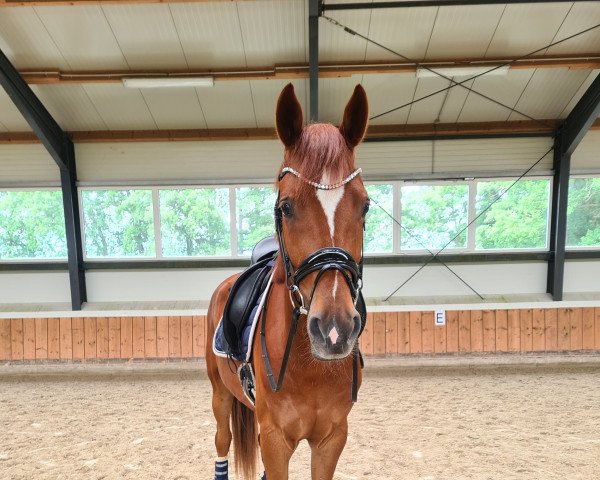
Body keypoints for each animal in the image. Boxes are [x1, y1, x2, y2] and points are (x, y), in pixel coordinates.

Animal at [206, 83, 370, 480]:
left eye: (365, 206)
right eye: (286, 207)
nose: (334, 330)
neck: (308, 366)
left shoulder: (331, 438)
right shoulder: (275, 440)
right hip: (220, 395)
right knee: (222, 440)